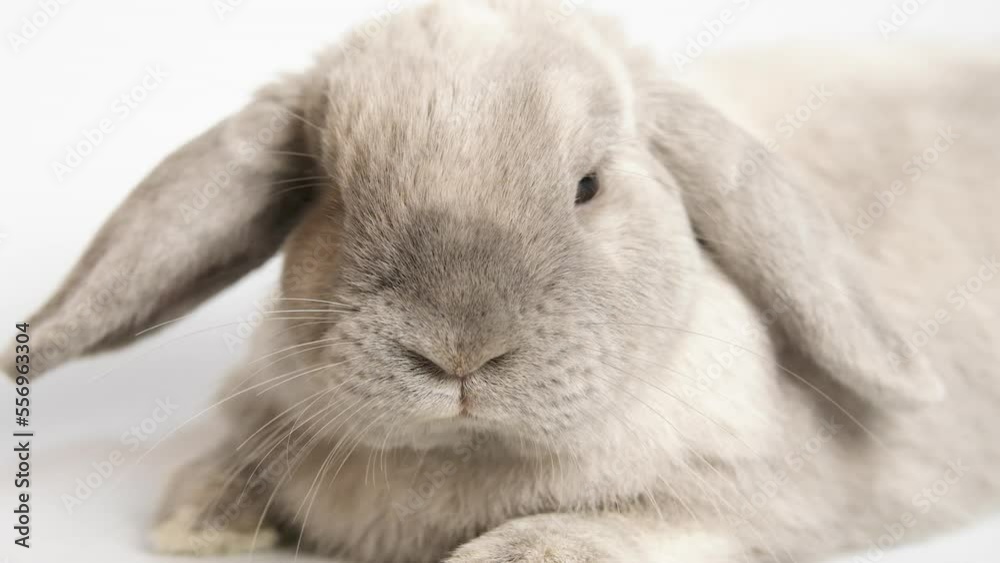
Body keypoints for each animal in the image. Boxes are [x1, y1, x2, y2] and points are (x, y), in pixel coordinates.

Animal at [5, 0, 1000, 561]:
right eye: (329, 194)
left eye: (588, 186)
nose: (460, 350)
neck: (462, 457)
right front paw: (203, 521)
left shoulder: (771, 497)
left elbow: (643, 521)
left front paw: (508, 552)